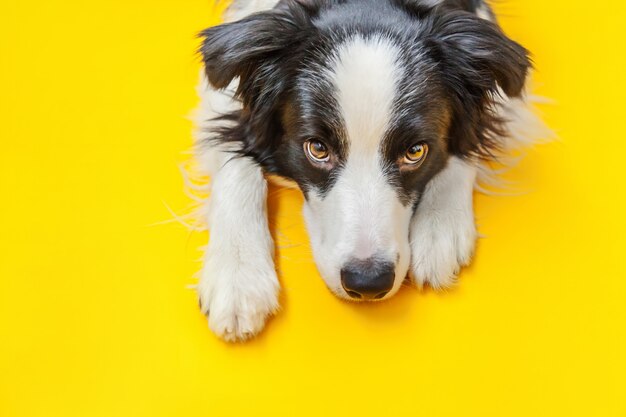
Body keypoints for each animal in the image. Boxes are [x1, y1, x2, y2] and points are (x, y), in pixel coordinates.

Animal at [193, 0, 544, 342]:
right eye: (317, 148)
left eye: (415, 152)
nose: (367, 282)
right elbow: (233, 155)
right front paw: (238, 276)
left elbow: (470, 136)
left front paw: (439, 227)